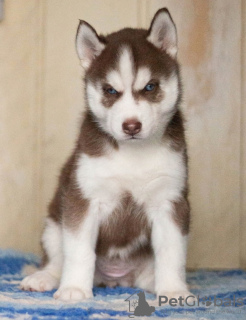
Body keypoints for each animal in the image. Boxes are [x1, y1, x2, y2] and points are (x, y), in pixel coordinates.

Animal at [20, 8, 190, 302]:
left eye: (150, 87)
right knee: (55, 259)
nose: (131, 126)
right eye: (110, 90)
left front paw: (174, 291)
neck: (132, 154)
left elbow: (172, 252)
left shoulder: (171, 201)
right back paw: (44, 278)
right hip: (53, 223)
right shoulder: (83, 199)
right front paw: (75, 289)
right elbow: (79, 251)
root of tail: (115, 280)